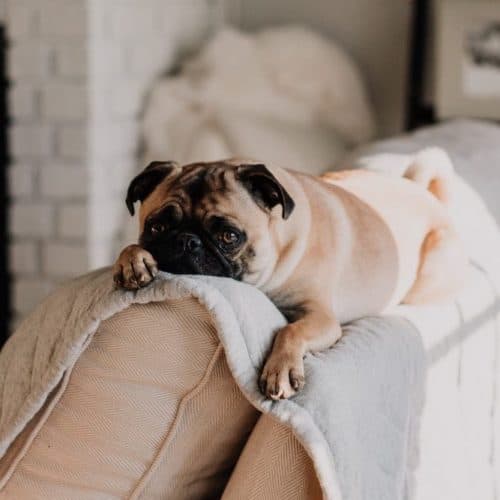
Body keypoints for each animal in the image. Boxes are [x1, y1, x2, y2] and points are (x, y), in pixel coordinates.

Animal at [112, 151, 464, 398]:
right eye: (157, 227)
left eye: (229, 236)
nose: (187, 241)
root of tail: (424, 193)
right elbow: (129, 247)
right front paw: (132, 260)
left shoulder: (321, 318)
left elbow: (290, 331)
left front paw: (280, 370)